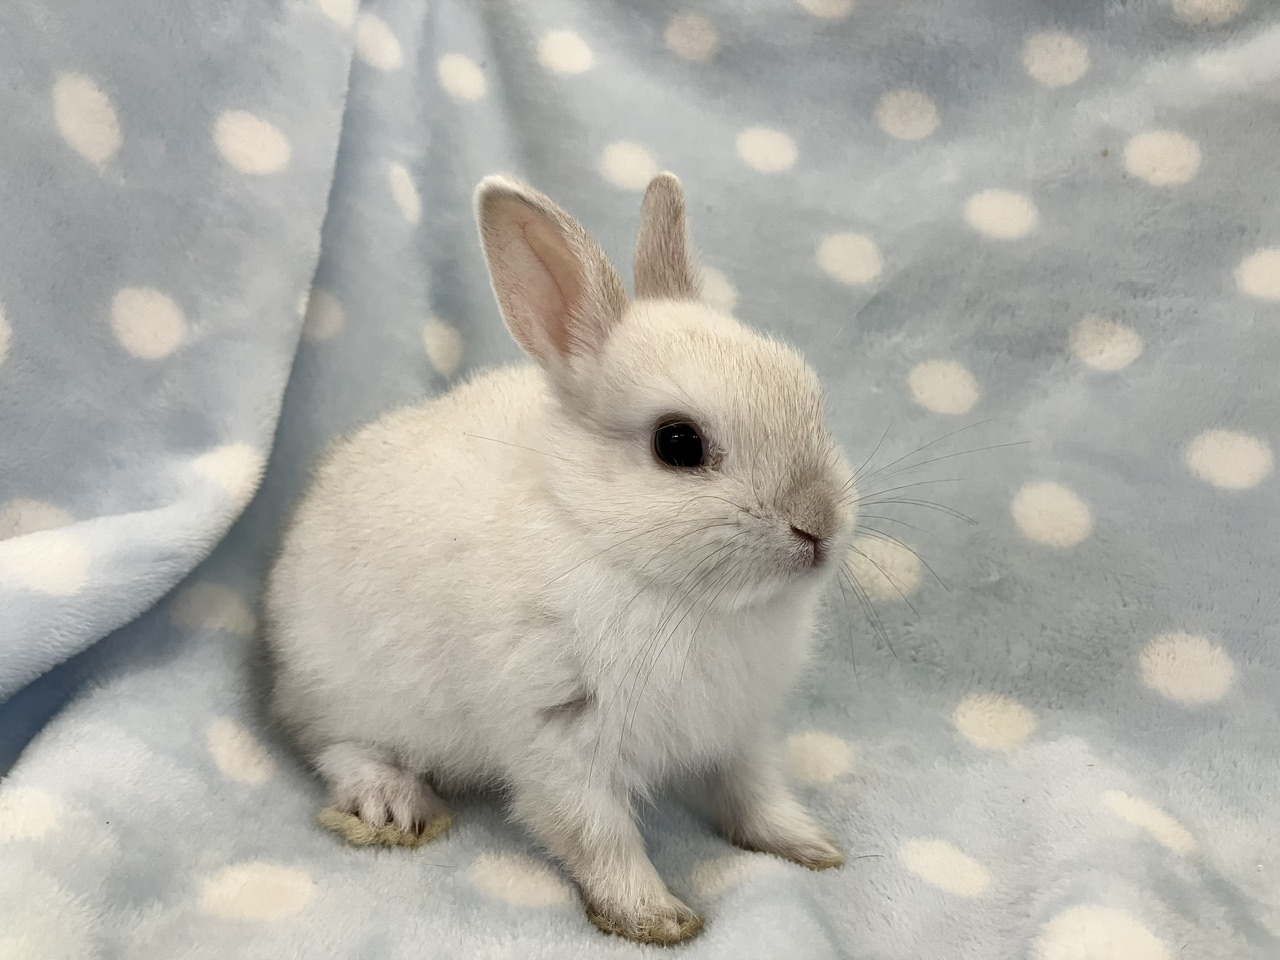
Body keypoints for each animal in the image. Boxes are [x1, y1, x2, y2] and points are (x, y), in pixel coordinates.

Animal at [264, 172, 855, 945]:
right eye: (678, 443)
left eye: (812, 395)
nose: (820, 526)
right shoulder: (560, 743)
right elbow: (597, 836)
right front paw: (656, 916)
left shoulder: (739, 732)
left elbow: (754, 794)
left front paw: (809, 846)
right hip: (350, 690)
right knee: (331, 744)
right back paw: (392, 803)